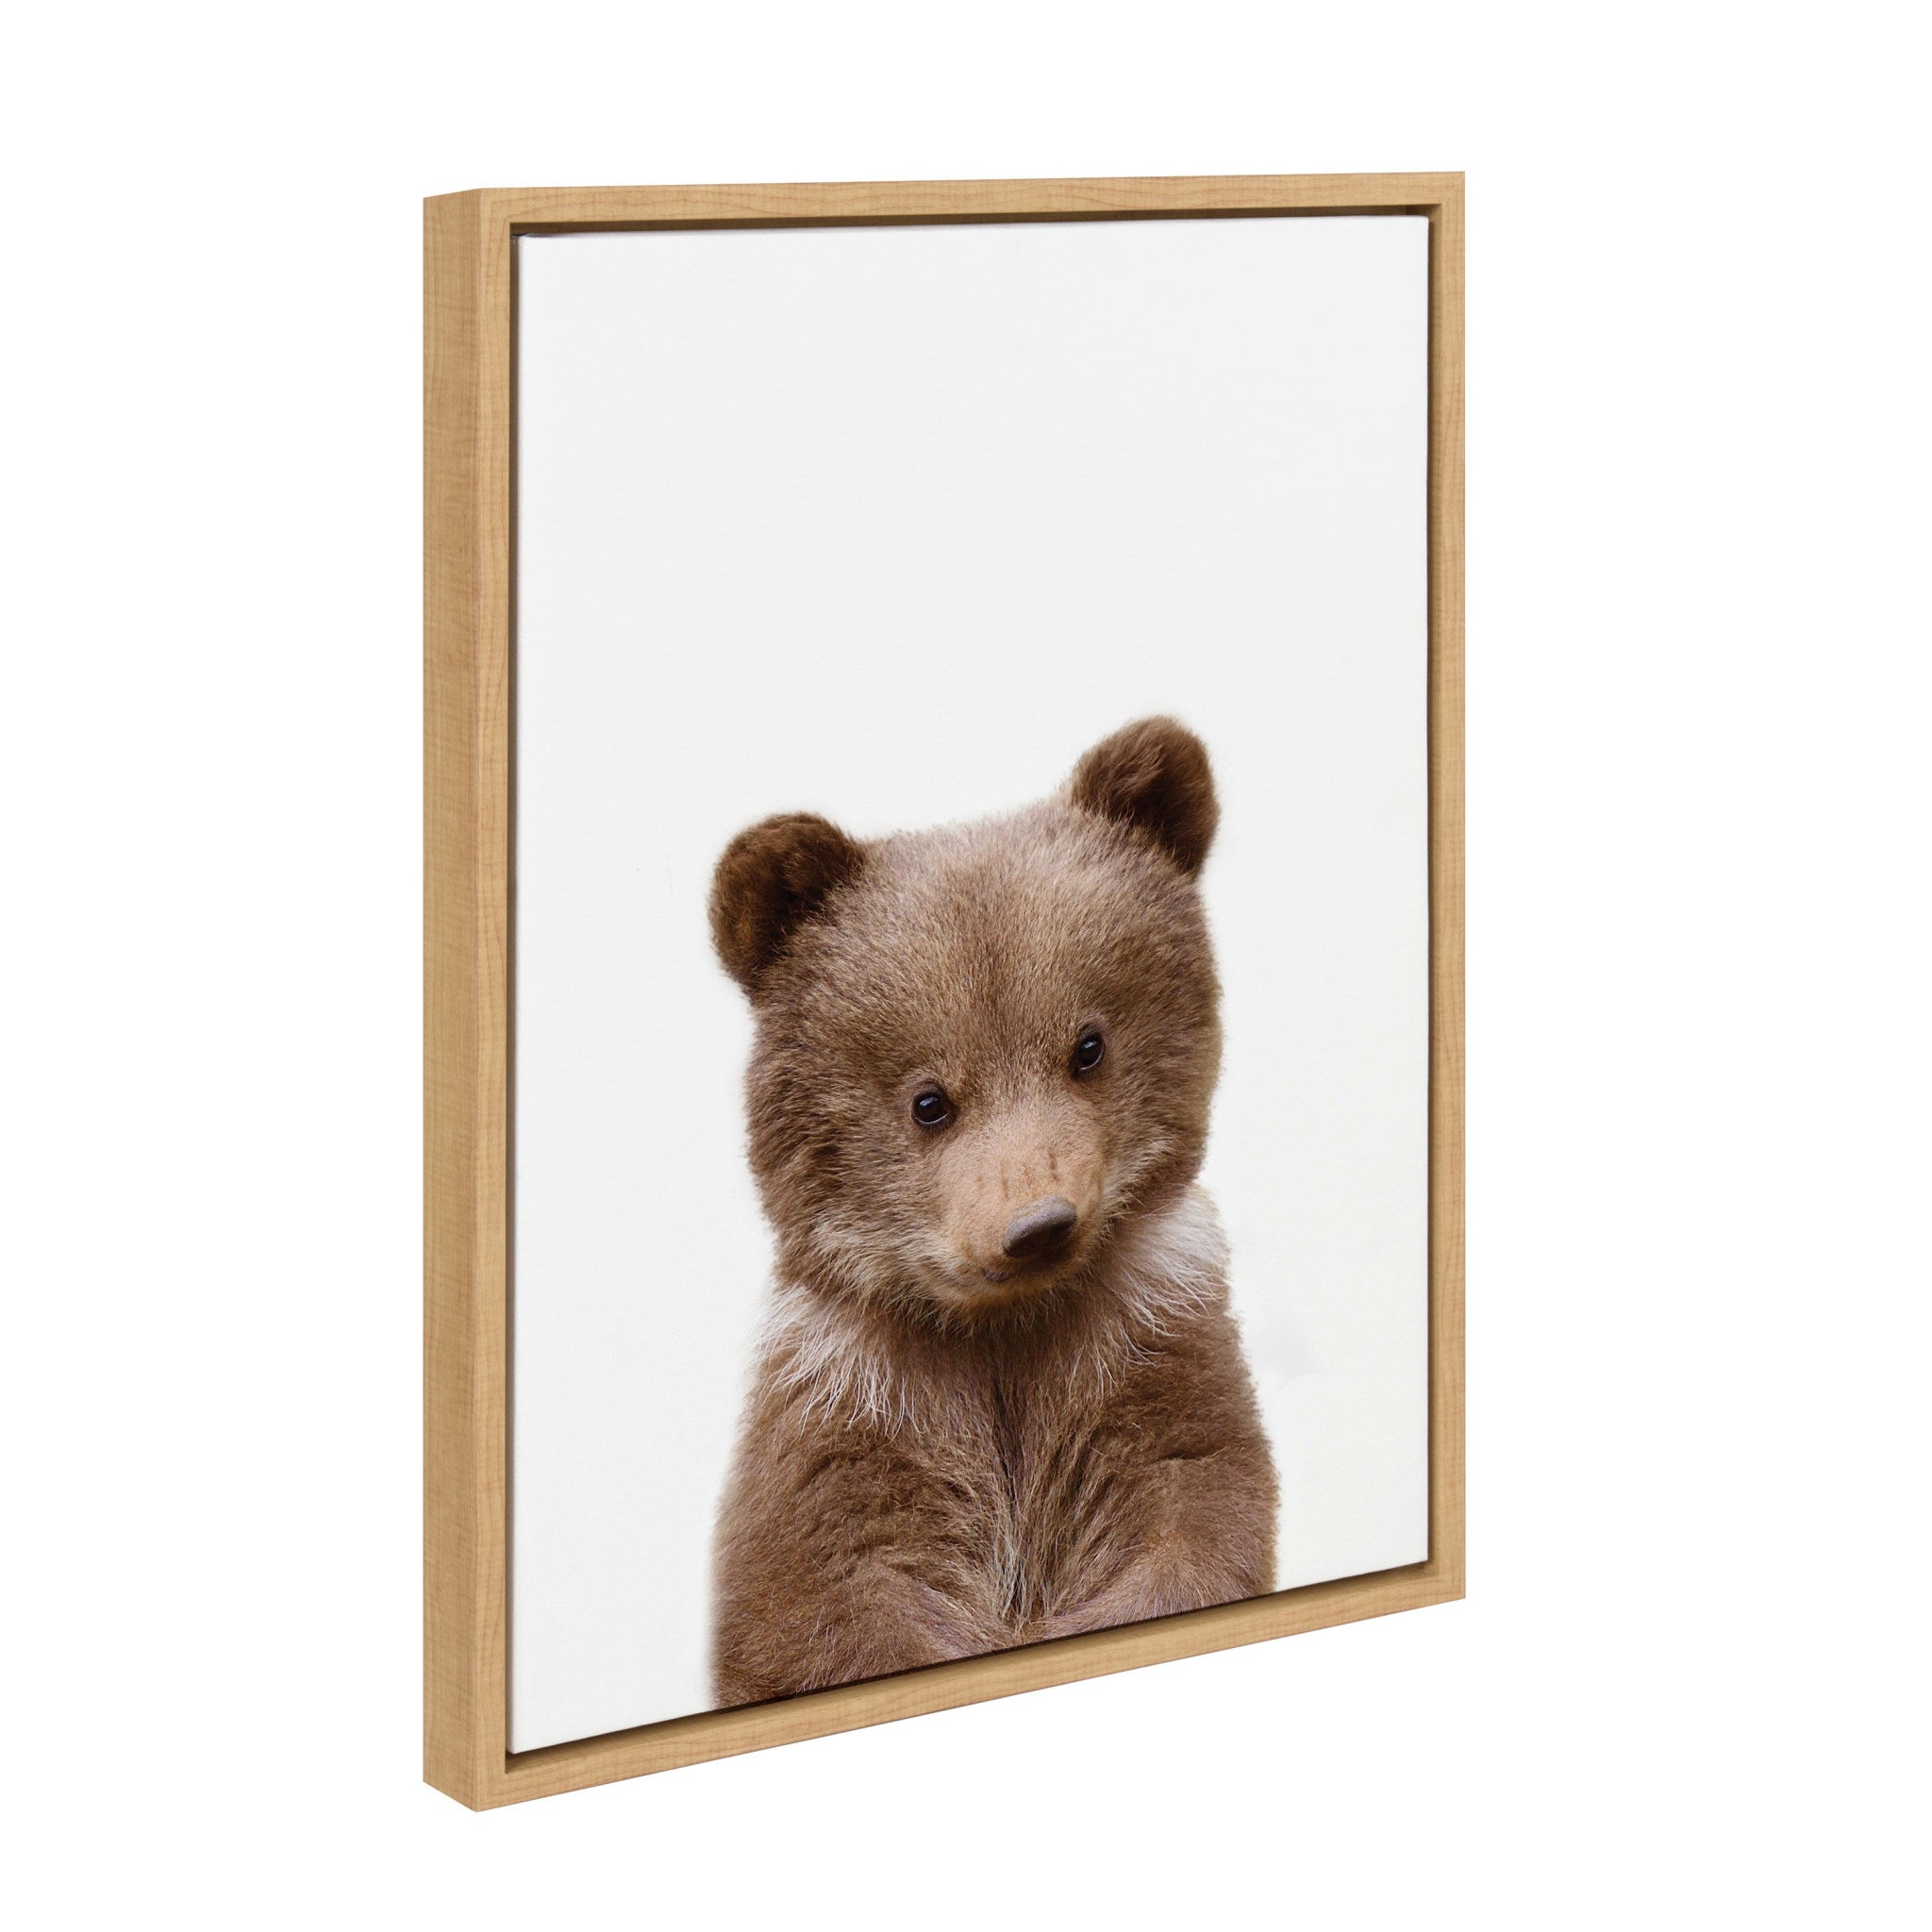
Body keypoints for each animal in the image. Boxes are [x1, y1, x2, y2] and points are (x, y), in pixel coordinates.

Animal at [707, 715, 1277, 1707]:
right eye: (928, 1100)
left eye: (1088, 1045)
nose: (1037, 1226)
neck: (1002, 1333)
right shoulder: (854, 1413)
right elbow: (823, 1605)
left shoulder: (1149, 1350)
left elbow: (1194, 1518)